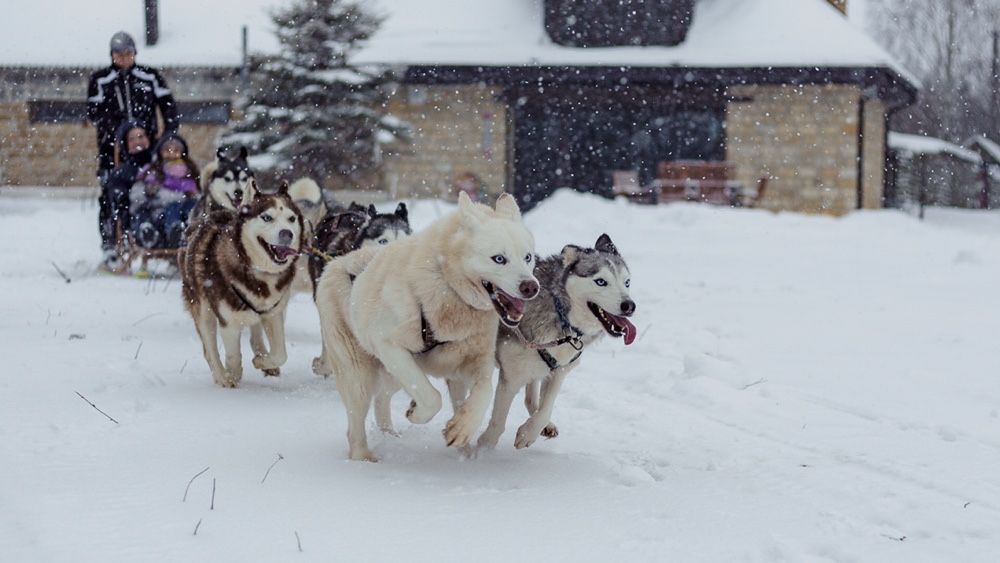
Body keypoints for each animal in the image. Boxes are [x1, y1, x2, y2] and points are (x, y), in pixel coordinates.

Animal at [180, 184, 304, 388]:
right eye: (267, 217)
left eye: (291, 218)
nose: (287, 233)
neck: (257, 272)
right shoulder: (228, 322)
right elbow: (234, 356)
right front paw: (232, 375)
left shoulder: (274, 314)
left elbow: (280, 353)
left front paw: (262, 361)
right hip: (203, 309)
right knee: (209, 348)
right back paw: (221, 375)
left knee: (255, 334)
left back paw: (262, 357)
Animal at [318, 192, 540, 460]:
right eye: (499, 259)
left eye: (527, 257)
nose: (531, 287)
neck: (448, 289)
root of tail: (341, 262)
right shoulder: (389, 345)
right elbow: (432, 397)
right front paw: (418, 413)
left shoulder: (474, 361)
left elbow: (484, 391)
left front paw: (462, 429)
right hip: (358, 373)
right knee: (356, 420)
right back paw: (363, 456)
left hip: (391, 374)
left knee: (382, 398)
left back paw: (389, 435)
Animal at [480, 234, 636, 450]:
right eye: (601, 281)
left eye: (627, 282)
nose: (629, 305)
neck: (562, 315)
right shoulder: (512, 376)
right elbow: (498, 421)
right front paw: (483, 448)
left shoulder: (559, 370)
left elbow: (545, 409)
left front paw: (529, 432)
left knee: (531, 396)